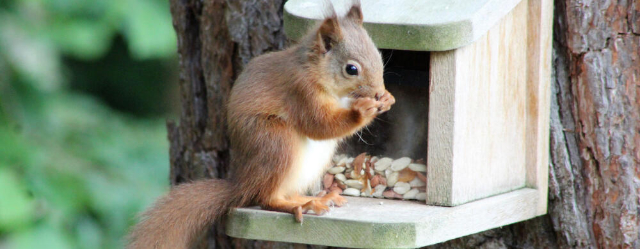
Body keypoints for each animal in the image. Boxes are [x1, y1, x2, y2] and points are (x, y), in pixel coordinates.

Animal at [127, 1, 392, 247]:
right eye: (351, 69)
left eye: (379, 57)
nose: (378, 92)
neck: (315, 70)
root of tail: (242, 183)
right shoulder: (299, 91)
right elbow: (319, 124)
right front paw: (362, 112)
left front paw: (387, 98)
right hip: (275, 142)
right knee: (265, 199)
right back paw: (301, 205)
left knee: (283, 194)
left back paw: (314, 199)